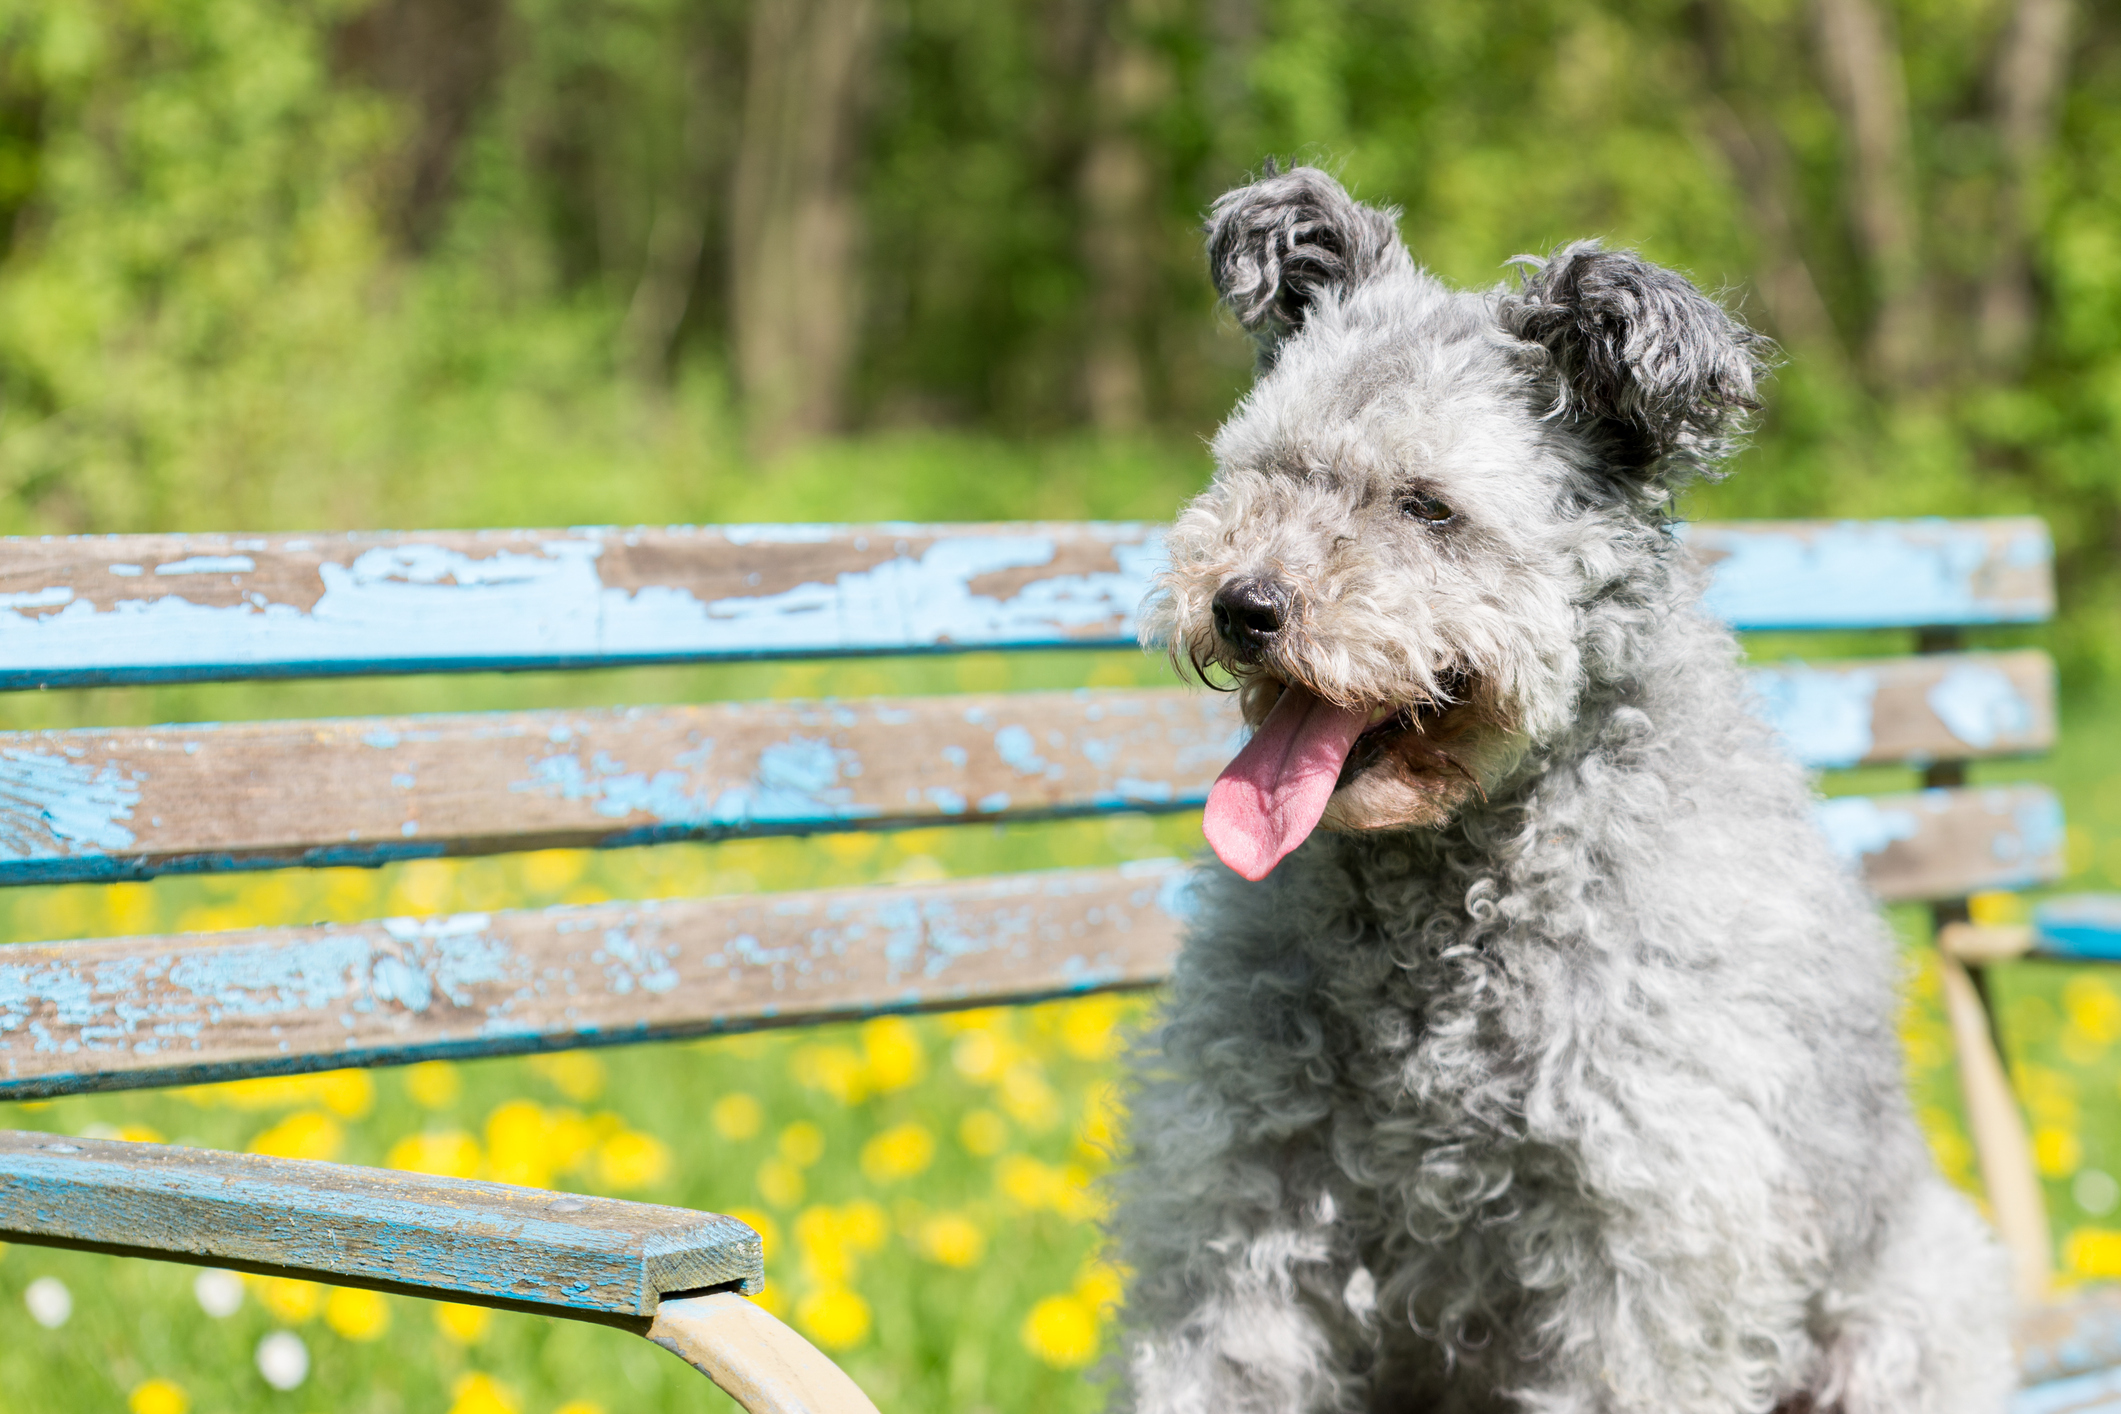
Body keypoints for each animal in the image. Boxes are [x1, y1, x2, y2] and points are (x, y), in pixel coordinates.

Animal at [1119, 163, 2010, 1414]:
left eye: (1427, 506)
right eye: (1261, 471)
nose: (1243, 605)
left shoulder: (1649, 1226)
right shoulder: (1246, 1198)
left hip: (1905, 1322)